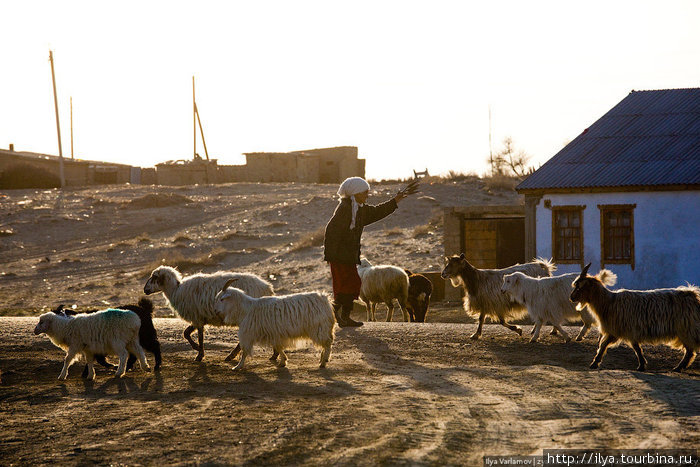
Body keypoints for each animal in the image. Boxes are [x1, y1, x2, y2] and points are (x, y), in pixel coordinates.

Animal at [143, 266, 274, 362]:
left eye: (154, 277)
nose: (145, 290)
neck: (176, 290)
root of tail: (268, 288)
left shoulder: (197, 317)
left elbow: (199, 337)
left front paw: (199, 354)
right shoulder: (198, 317)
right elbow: (186, 333)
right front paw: (197, 349)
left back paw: (232, 355)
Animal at [568, 266, 700, 372]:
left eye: (579, 287)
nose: (571, 297)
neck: (609, 302)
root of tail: (693, 296)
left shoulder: (618, 329)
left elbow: (604, 345)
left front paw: (594, 363)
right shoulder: (628, 331)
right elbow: (636, 348)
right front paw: (642, 365)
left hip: (686, 329)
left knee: (689, 351)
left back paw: (678, 367)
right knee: (690, 351)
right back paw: (679, 367)